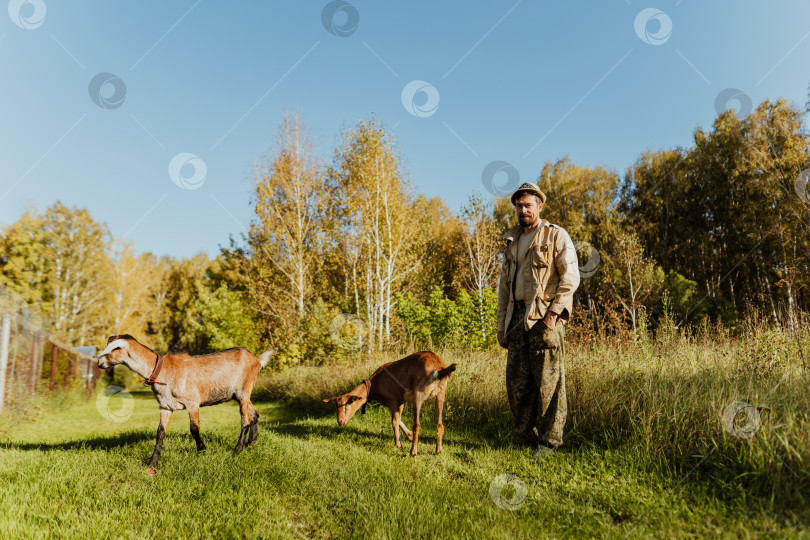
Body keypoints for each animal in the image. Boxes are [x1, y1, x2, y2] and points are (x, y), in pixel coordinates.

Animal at [96, 332, 274, 466]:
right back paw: (251, 443)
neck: (162, 370)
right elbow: (160, 432)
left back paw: (238, 449)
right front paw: (153, 462)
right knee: (255, 413)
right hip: (240, 395)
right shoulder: (165, 406)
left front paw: (202, 451)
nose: (99, 362)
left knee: (245, 419)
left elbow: (194, 429)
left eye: (115, 348)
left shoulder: (192, 403)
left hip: (244, 391)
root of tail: (257, 360)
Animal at [320, 350, 454, 456]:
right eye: (336, 405)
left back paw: (413, 452)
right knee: (440, 424)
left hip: (419, 394)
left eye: (347, 404)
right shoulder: (400, 401)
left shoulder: (393, 400)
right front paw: (408, 436)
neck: (374, 384)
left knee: (417, 425)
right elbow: (399, 419)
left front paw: (397, 445)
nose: (340, 422)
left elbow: (394, 421)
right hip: (441, 394)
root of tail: (439, 368)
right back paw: (438, 450)